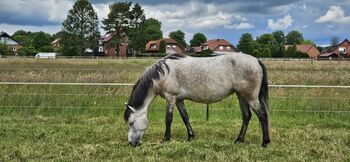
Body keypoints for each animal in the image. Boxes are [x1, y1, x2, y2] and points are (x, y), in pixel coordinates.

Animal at [124, 52, 272, 147]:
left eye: (131, 122)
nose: (132, 144)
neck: (164, 73)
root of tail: (256, 61)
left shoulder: (171, 98)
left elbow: (168, 119)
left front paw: (166, 138)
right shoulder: (179, 100)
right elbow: (185, 117)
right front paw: (190, 136)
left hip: (251, 97)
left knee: (262, 115)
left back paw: (265, 142)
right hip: (241, 96)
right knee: (246, 116)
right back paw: (239, 140)